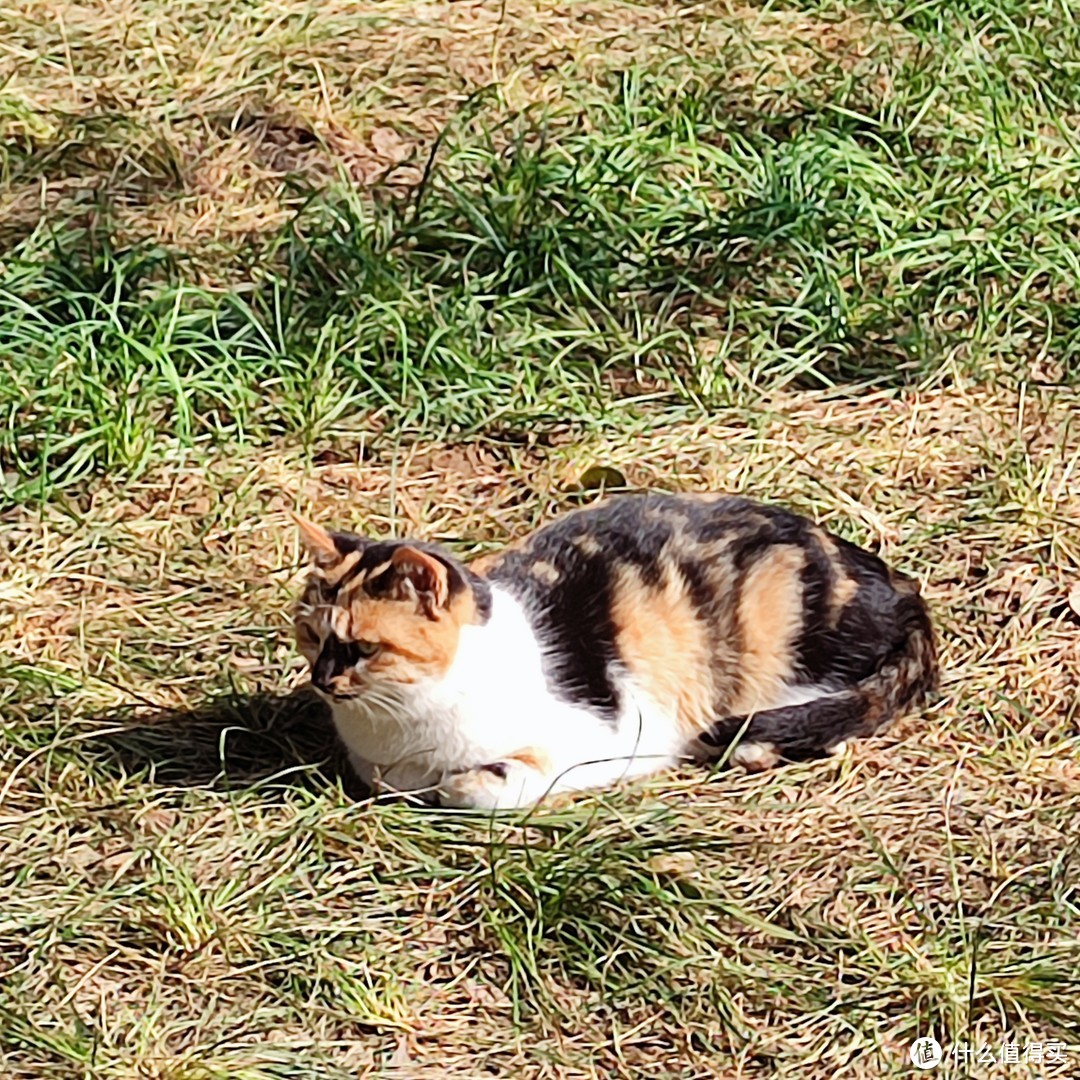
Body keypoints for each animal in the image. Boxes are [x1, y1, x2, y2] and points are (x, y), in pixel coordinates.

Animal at [291, 494, 933, 807]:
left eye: (362, 647)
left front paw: (468, 782)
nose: (322, 680)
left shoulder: (615, 734)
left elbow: (476, 786)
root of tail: (901, 586)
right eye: (310, 635)